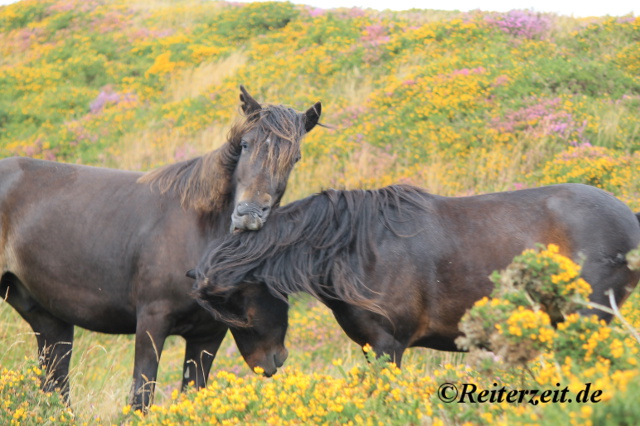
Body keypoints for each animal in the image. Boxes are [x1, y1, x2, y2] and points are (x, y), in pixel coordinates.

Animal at [0, 85, 320, 410]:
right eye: (245, 144)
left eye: (294, 158)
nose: (249, 213)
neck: (199, 231)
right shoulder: (151, 324)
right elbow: (141, 396)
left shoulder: (207, 336)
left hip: (49, 320)